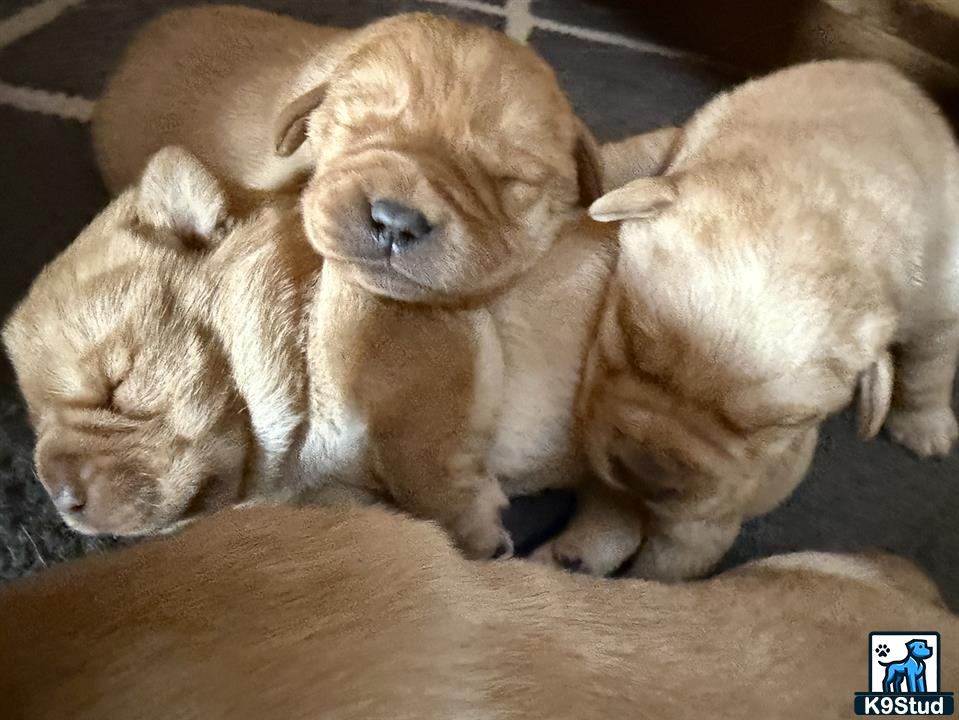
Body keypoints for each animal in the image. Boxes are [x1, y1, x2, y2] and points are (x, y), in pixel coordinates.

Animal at [568, 60, 959, 580]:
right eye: (628, 338)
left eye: (771, 427)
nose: (643, 472)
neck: (816, 200)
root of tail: (882, 69)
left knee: (934, 353)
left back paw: (926, 425)